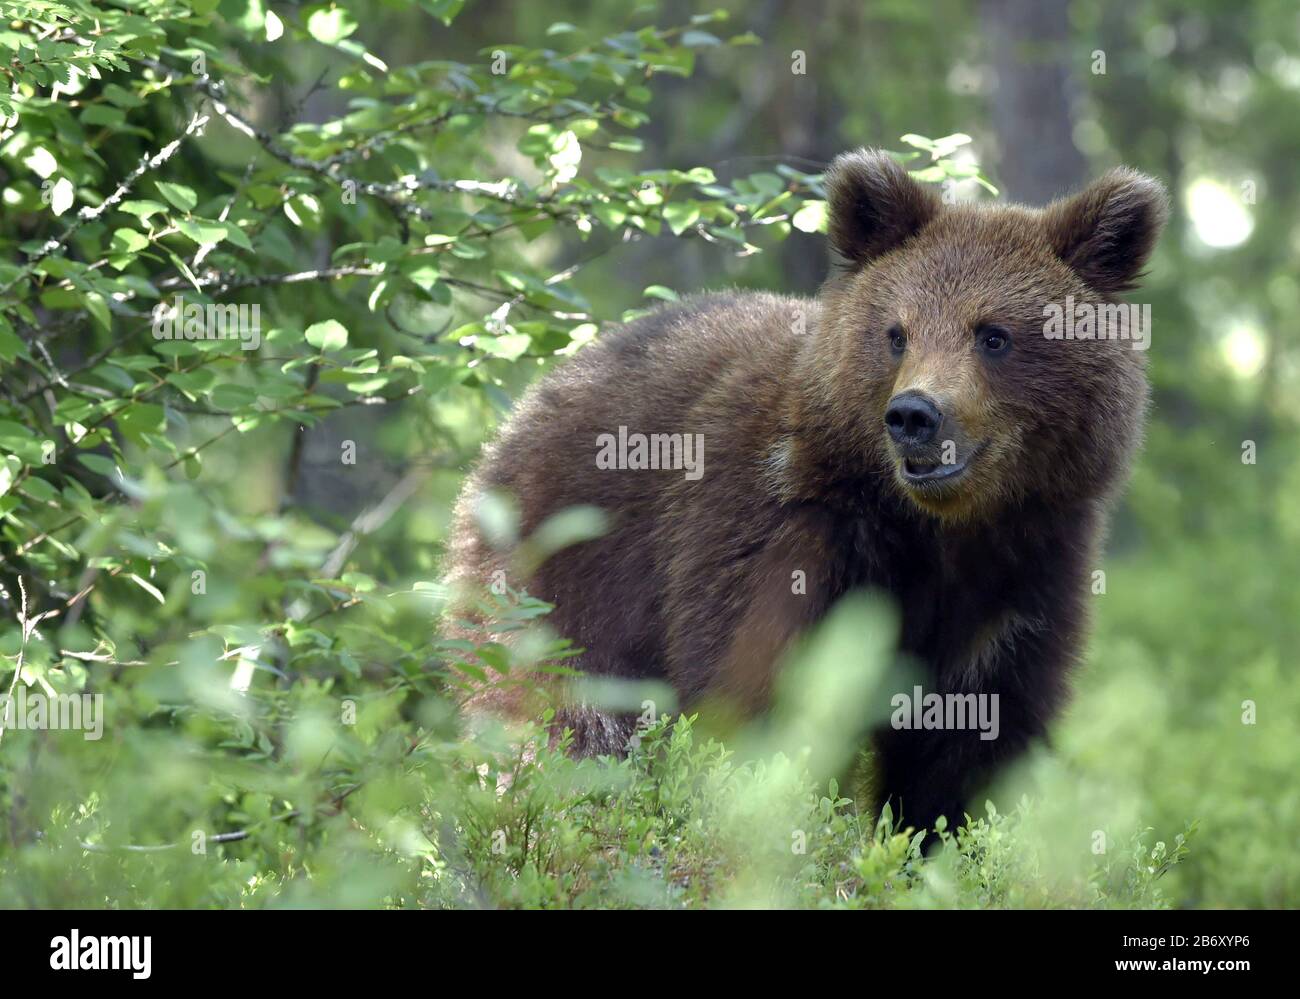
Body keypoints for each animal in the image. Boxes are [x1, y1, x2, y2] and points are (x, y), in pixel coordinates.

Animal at [447, 146, 1170, 832]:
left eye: (993, 334)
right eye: (896, 333)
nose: (915, 415)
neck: (934, 527)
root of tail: (529, 403)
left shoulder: (1024, 578)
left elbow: (970, 743)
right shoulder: (781, 529)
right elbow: (760, 694)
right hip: (556, 576)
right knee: (555, 711)